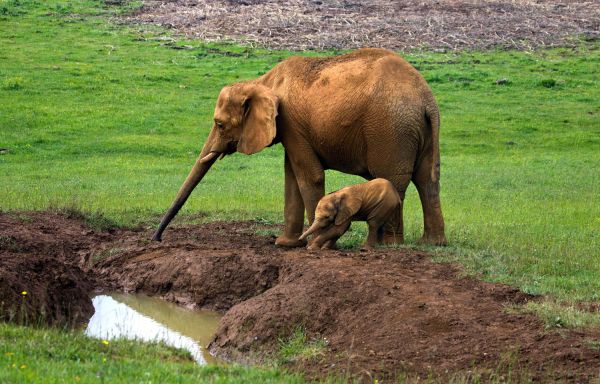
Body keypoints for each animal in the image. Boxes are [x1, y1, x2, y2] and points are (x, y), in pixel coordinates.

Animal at [152, 48, 448, 246]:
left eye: (220, 124)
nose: (157, 238)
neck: (262, 82)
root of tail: (426, 99)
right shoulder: (289, 127)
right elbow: (291, 177)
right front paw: (285, 244)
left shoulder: (291, 122)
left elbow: (308, 176)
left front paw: (309, 243)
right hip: (416, 130)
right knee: (427, 181)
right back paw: (431, 244)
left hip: (391, 130)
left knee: (394, 179)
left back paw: (390, 245)